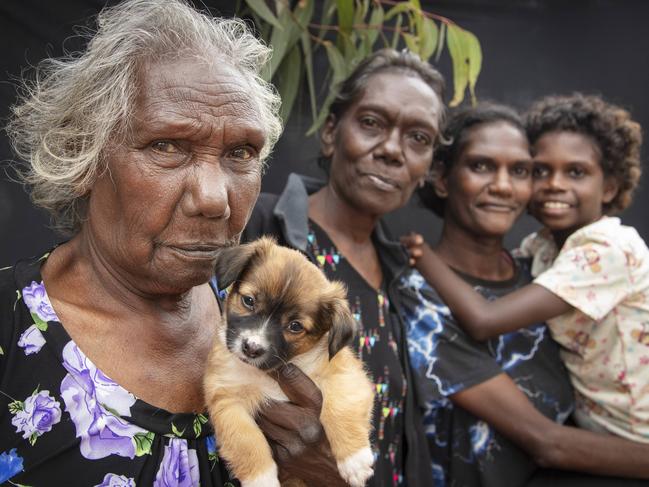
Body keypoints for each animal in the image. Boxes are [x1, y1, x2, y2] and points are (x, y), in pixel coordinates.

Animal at [202, 237, 374, 487]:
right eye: (249, 301)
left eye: (295, 326)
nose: (251, 348)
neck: (267, 373)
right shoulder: (228, 401)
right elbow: (247, 444)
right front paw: (262, 481)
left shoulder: (344, 374)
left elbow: (338, 407)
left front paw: (354, 459)